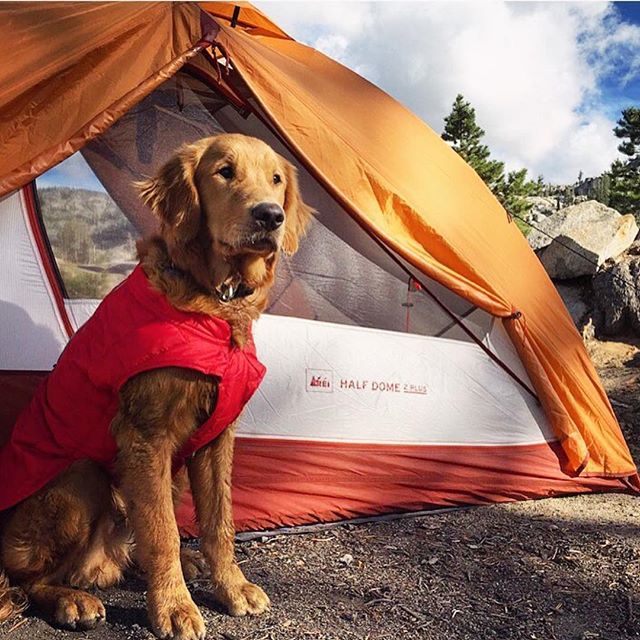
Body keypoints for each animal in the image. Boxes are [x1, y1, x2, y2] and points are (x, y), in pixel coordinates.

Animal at [0, 132, 312, 636]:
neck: (216, 304)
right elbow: (163, 531)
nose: (270, 216)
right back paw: (73, 599)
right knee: (29, 580)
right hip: (81, 478)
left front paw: (231, 586)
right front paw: (174, 607)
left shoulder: (217, 441)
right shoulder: (147, 437)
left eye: (277, 179)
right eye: (225, 171)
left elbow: (219, 523)